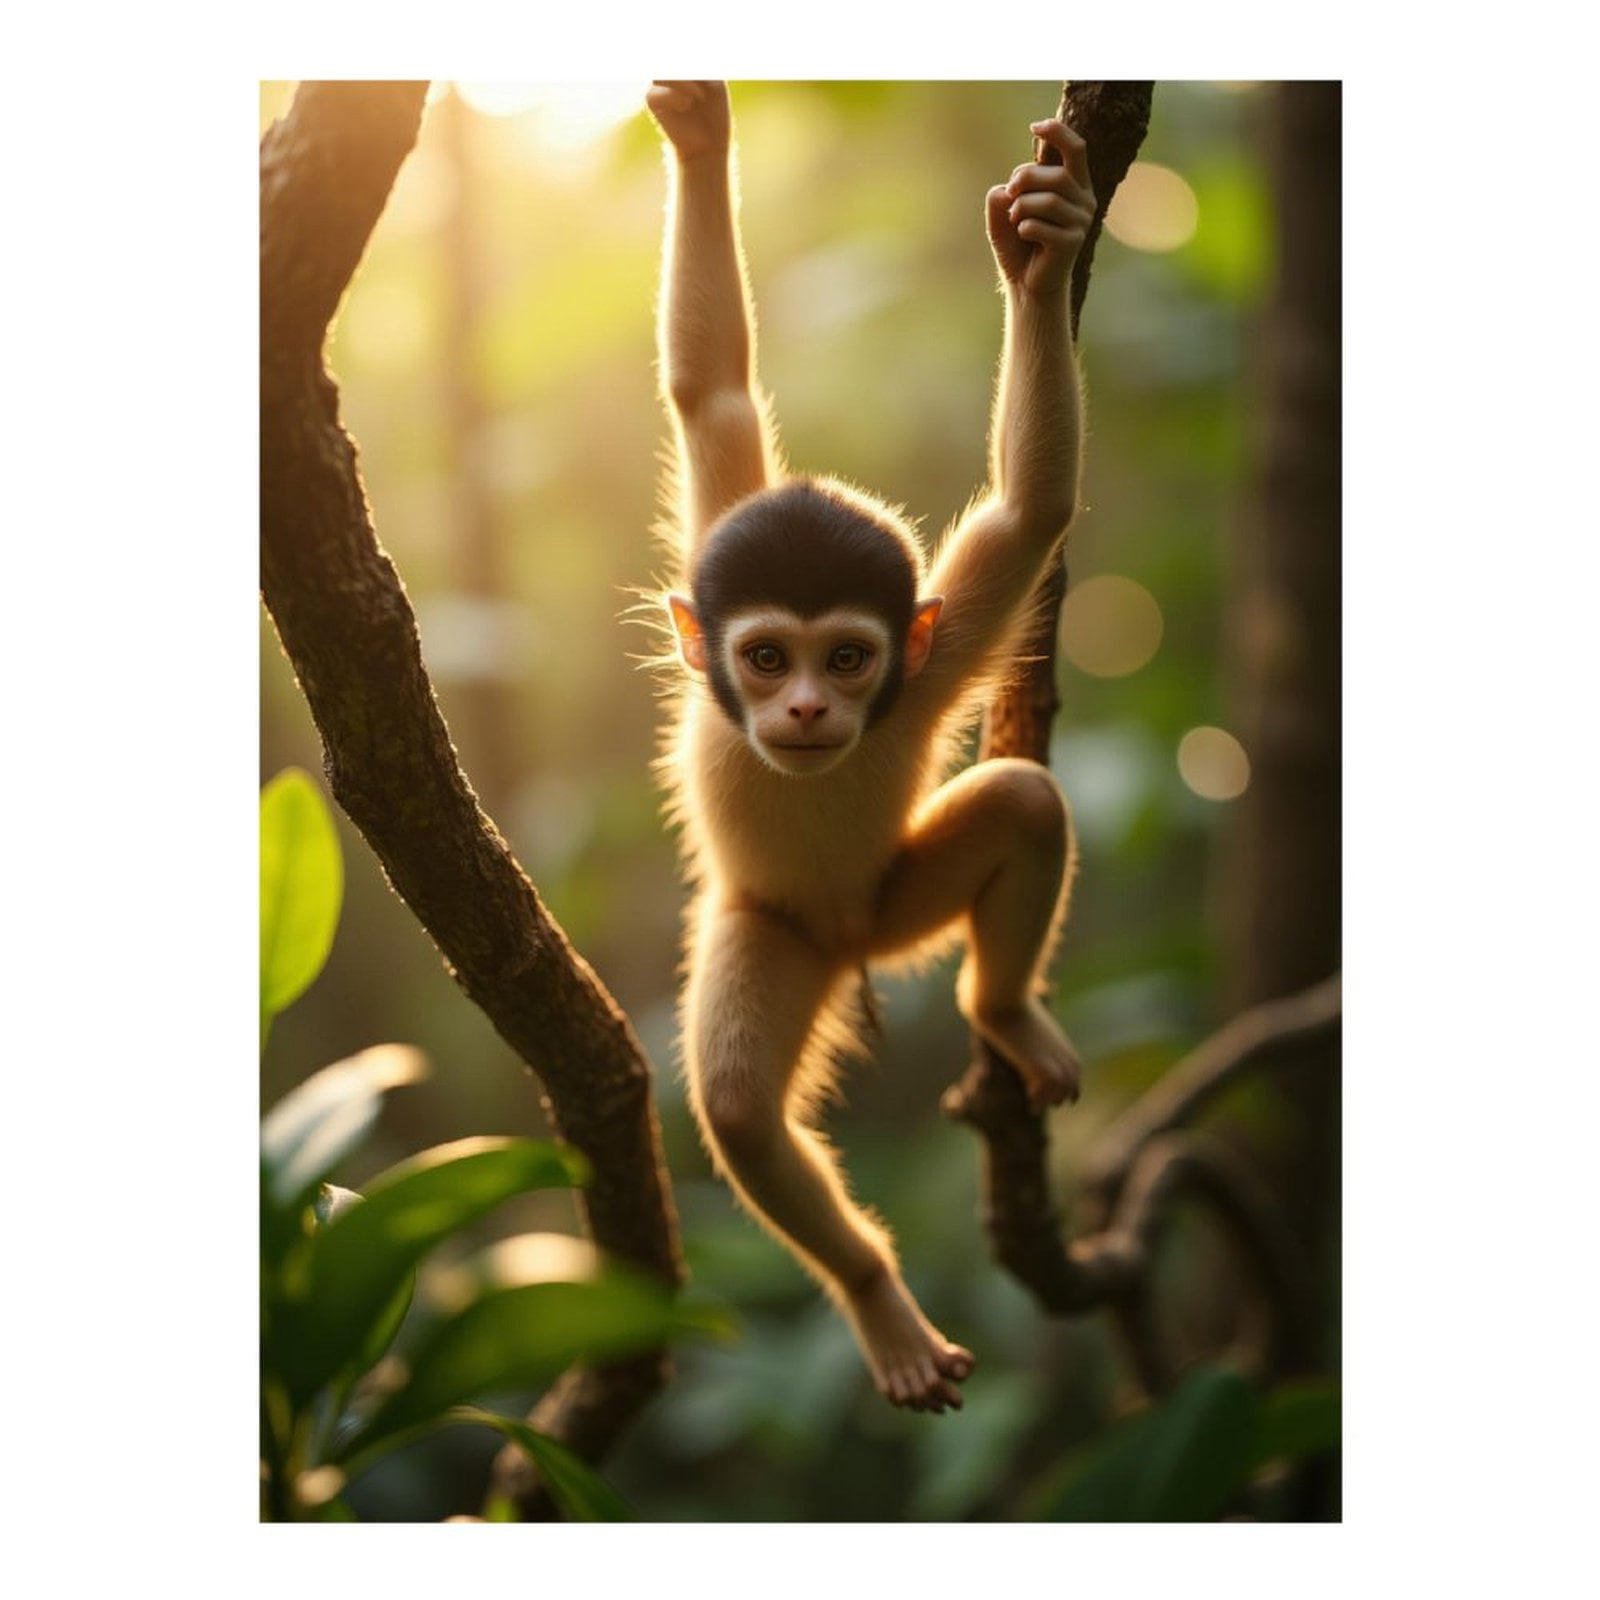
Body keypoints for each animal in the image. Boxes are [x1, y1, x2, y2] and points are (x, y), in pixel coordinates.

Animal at [645, 81, 1094, 1415]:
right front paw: (698, 140)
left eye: (845, 659)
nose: (802, 711)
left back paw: (1004, 1012)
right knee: (742, 1107)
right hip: (774, 932)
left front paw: (1041, 257)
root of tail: (848, 942)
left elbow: (1032, 511)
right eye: (762, 658)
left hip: (899, 905)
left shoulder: (925, 667)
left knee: (1022, 805)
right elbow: (711, 393)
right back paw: (880, 1304)